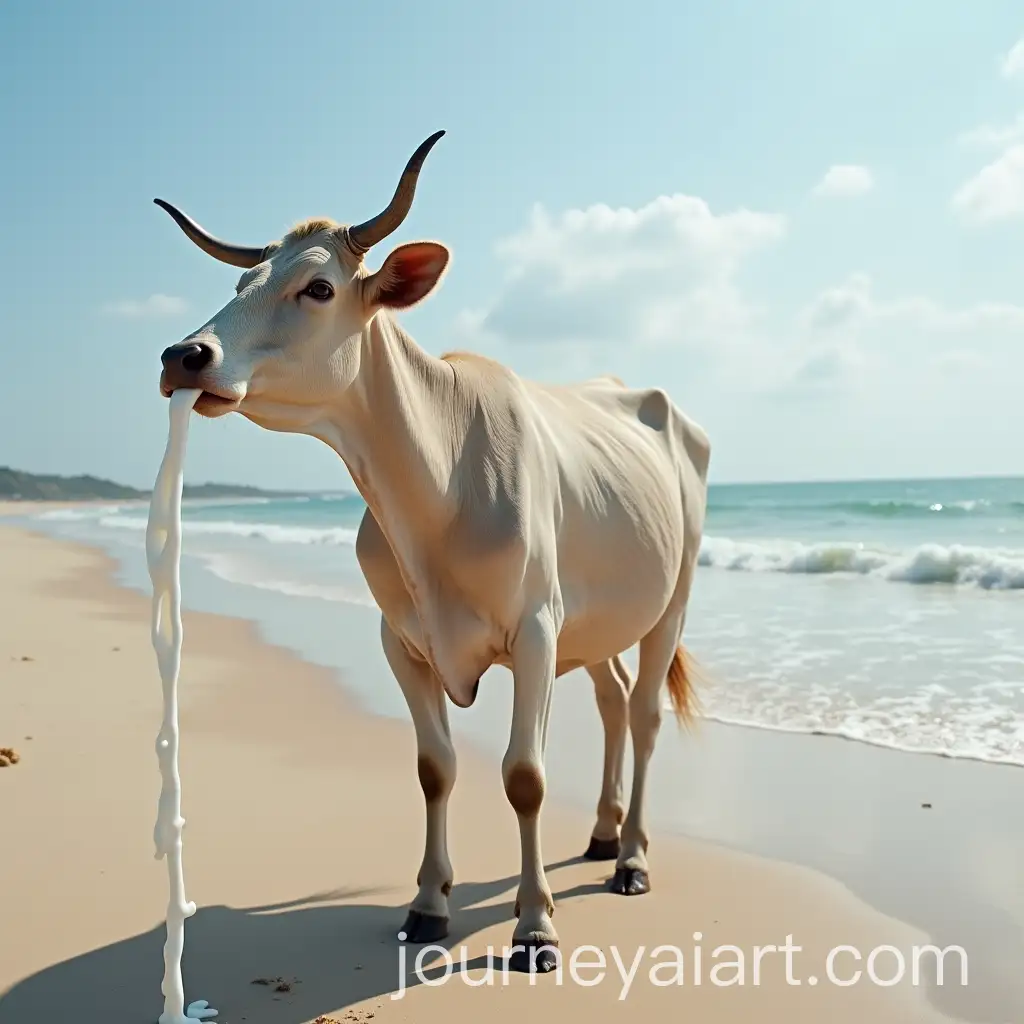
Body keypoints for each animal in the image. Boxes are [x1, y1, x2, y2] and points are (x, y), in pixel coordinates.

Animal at [154, 130, 711, 974]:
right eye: (244, 279)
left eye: (318, 288)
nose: (184, 355)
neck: (439, 480)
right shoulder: (401, 640)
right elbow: (434, 767)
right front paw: (426, 904)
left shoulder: (536, 631)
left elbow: (525, 776)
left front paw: (534, 926)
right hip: (597, 620)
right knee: (614, 698)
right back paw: (603, 832)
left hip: (671, 599)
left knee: (643, 713)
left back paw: (633, 857)